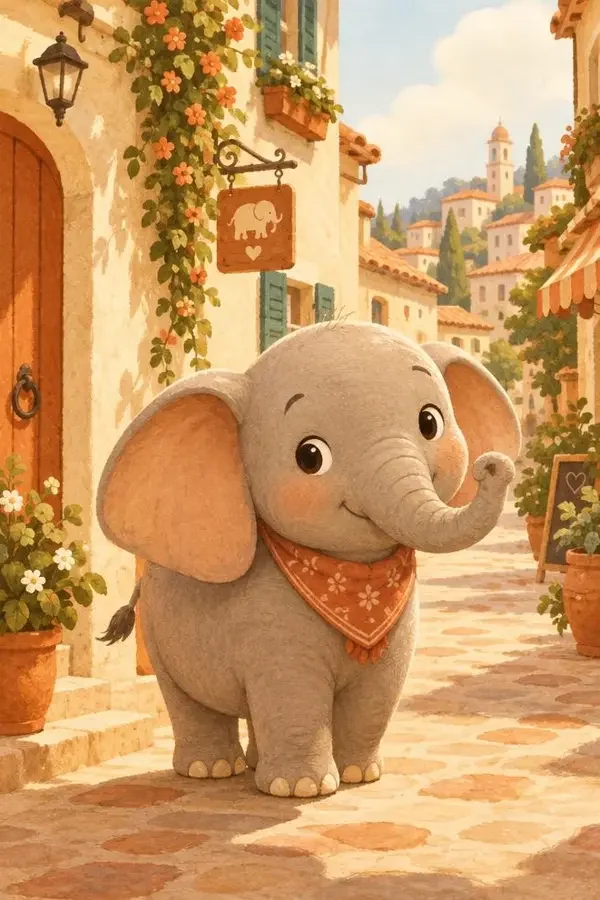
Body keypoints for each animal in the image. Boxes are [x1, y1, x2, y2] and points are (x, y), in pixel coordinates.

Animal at [97, 321, 520, 800]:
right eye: (310, 456)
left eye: (430, 422)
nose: (491, 466)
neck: (349, 583)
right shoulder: (269, 624)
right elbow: (293, 692)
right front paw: (302, 789)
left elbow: (378, 693)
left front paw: (360, 776)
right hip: (156, 627)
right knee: (187, 700)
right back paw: (213, 769)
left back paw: (257, 766)